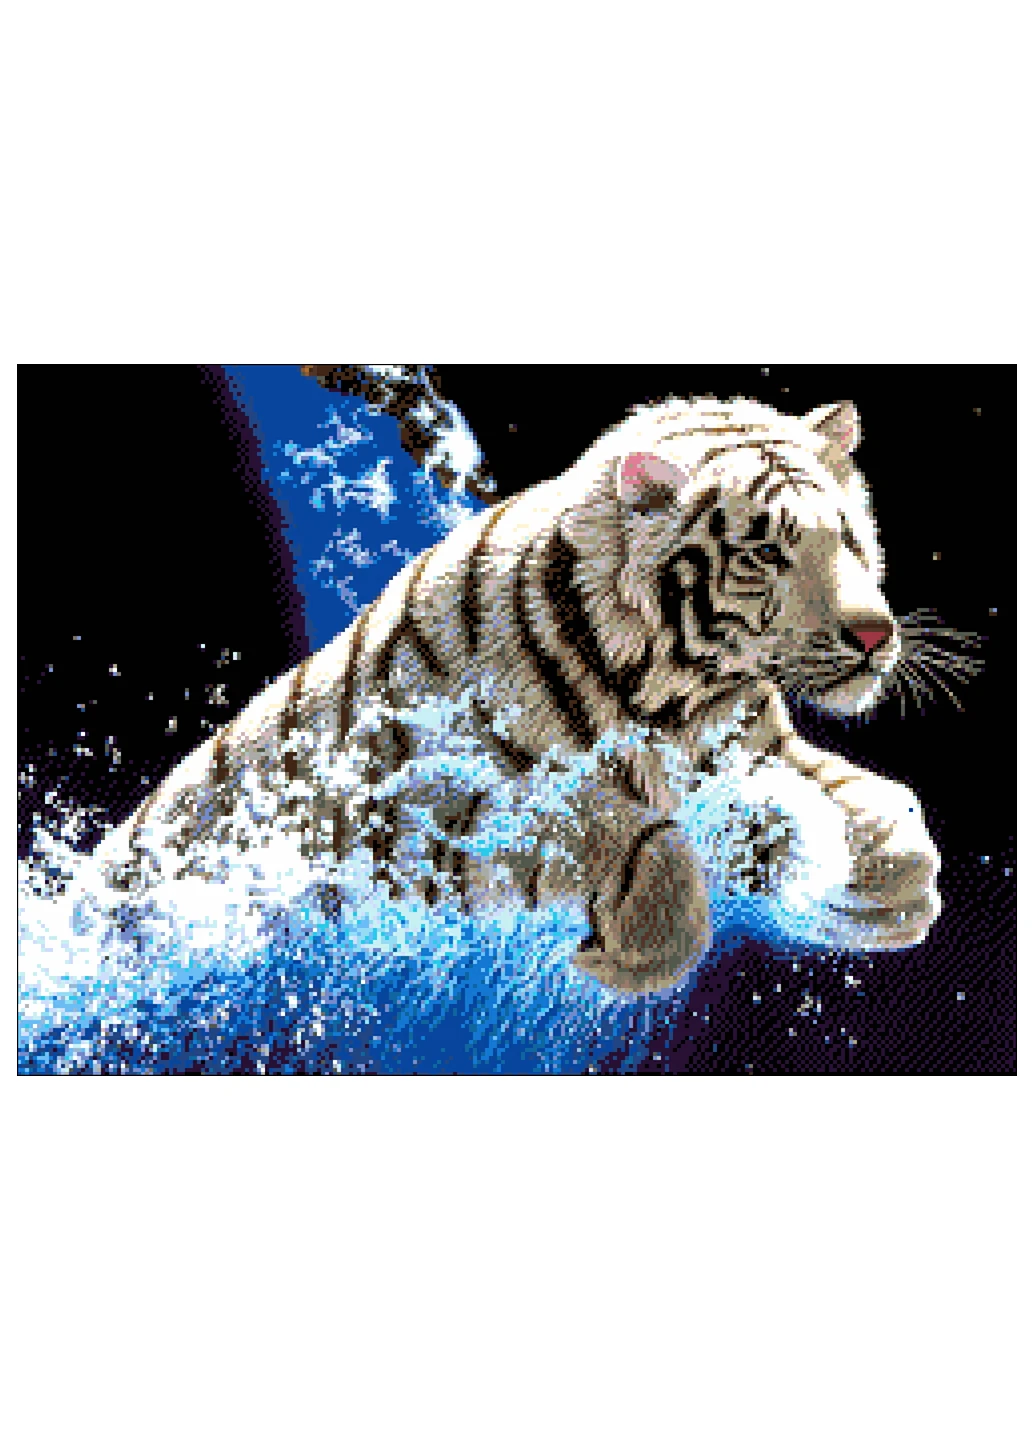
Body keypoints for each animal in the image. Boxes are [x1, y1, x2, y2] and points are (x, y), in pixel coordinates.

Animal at [94, 395, 941, 995]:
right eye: (764, 553)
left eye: (848, 539)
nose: (873, 636)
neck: (679, 692)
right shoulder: (415, 818)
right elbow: (623, 832)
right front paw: (627, 956)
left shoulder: (756, 747)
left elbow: (873, 801)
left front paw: (890, 883)